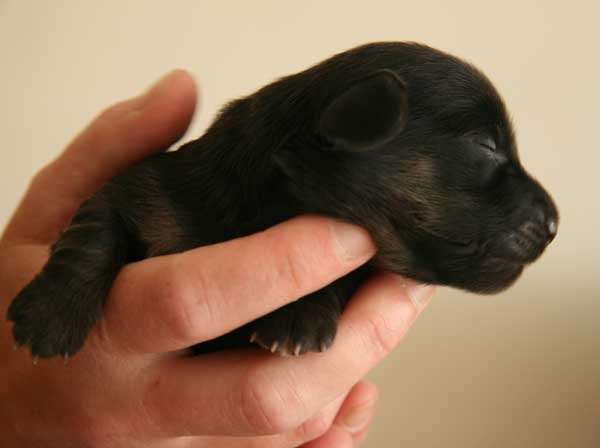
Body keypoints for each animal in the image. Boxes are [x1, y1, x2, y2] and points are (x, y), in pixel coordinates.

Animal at [7, 41, 556, 356]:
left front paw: (300, 318)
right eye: (486, 145)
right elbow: (91, 234)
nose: (555, 223)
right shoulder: (138, 189)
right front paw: (49, 318)